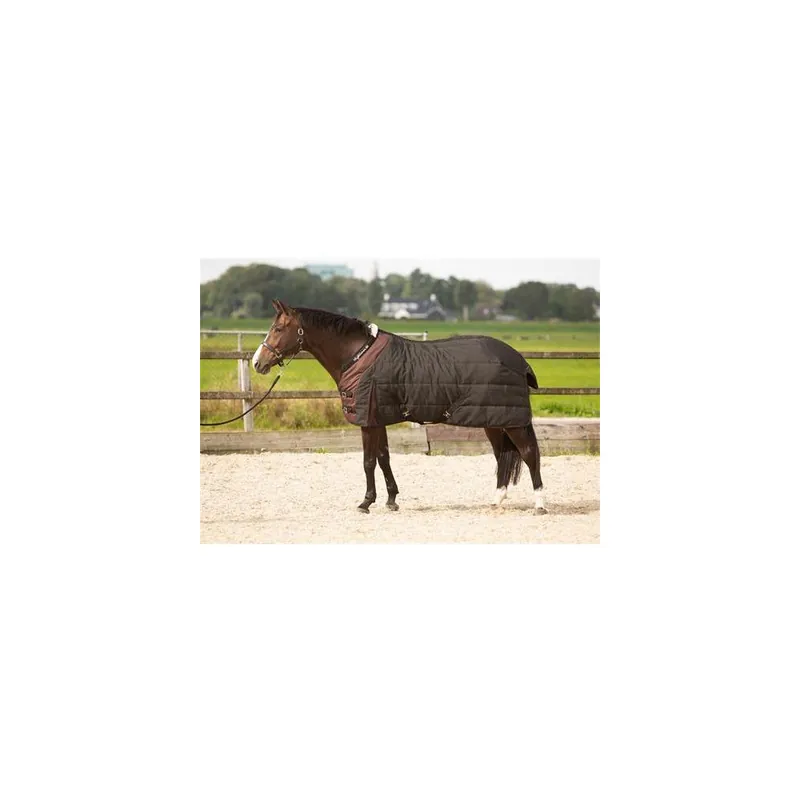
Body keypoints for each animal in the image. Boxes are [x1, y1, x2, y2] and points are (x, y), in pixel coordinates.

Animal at [252, 299, 546, 514]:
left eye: (278, 329)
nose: (258, 362)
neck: (358, 356)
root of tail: (518, 360)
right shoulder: (378, 417)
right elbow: (384, 458)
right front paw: (391, 499)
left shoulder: (367, 420)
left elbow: (368, 461)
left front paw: (366, 502)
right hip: (493, 420)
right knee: (502, 455)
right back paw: (496, 500)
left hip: (512, 421)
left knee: (529, 453)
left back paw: (540, 504)